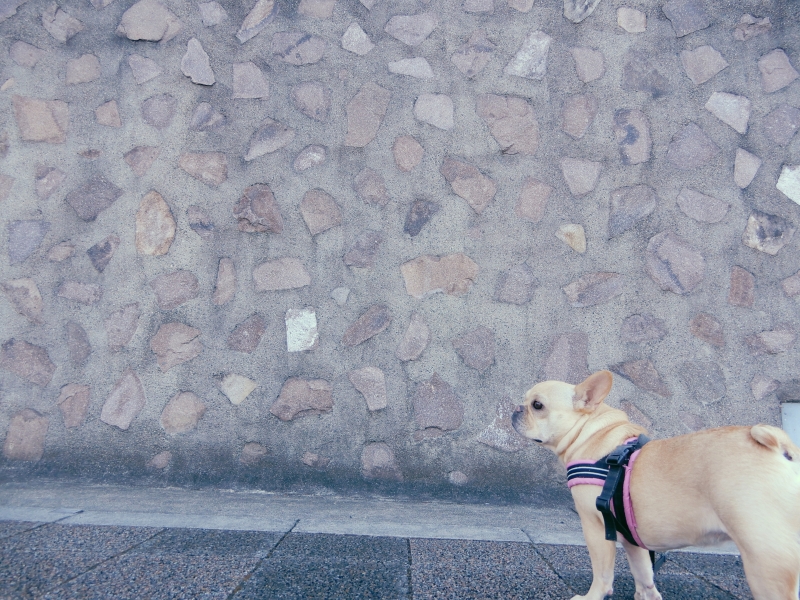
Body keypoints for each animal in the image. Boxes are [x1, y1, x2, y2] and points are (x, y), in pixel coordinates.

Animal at [511, 369, 800, 600]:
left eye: (537, 405)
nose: (516, 408)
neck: (591, 432)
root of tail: (782, 448)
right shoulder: (630, 536)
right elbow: (644, 573)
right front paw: (646, 596)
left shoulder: (596, 526)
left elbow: (602, 572)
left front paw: (591, 596)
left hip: (765, 562)